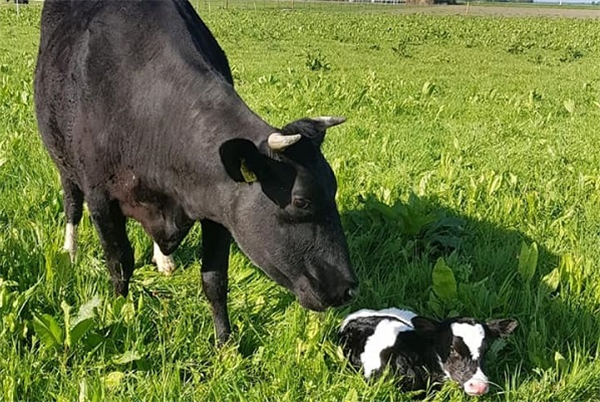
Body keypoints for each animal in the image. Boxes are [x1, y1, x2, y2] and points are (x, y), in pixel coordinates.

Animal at [34, 0, 356, 346]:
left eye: (333, 190)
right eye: (301, 201)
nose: (349, 288)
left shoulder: (220, 208)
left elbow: (214, 279)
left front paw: (225, 342)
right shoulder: (101, 199)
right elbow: (120, 264)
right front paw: (121, 317)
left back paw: (163, 259)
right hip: (63, 161)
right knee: (71, 204)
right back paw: (70, 252)